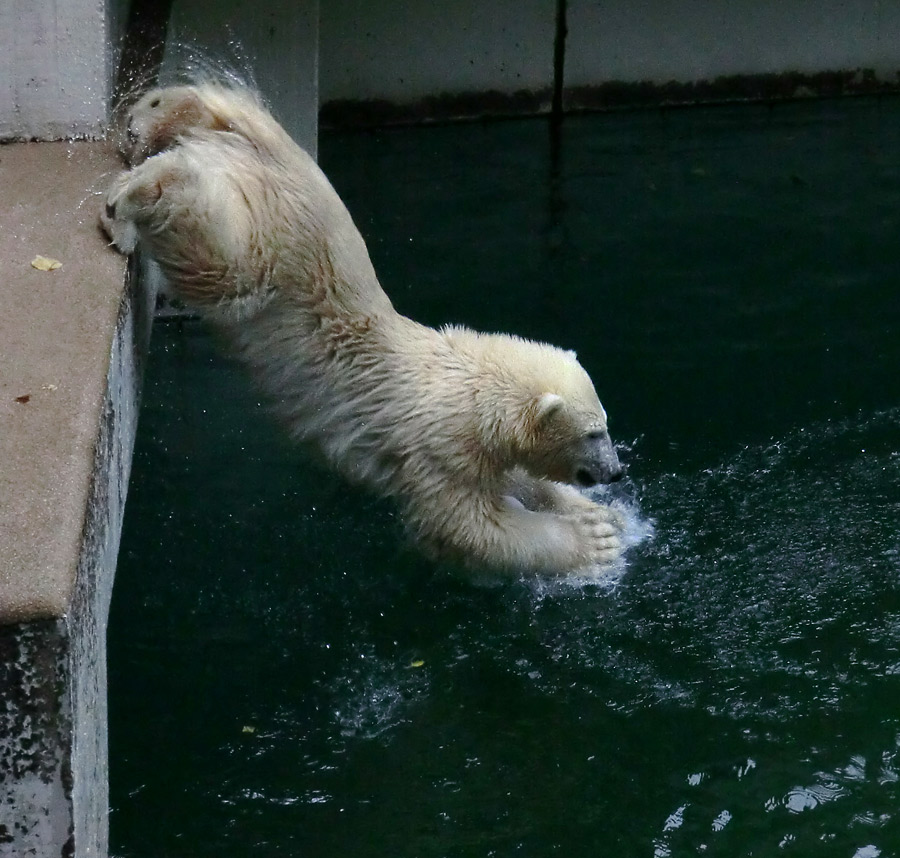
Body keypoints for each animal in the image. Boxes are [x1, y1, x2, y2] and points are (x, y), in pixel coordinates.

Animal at [102, 82, 624, 576]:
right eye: (593, 433)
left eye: (606, 425)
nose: (615, 472)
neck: (466, 384)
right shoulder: (438, 444)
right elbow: (467, 525)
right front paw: (594, 543)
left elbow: (510, 480)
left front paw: (597, 514)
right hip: (271, 246)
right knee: (220, 253)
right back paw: (136, 192)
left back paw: (158, 112)